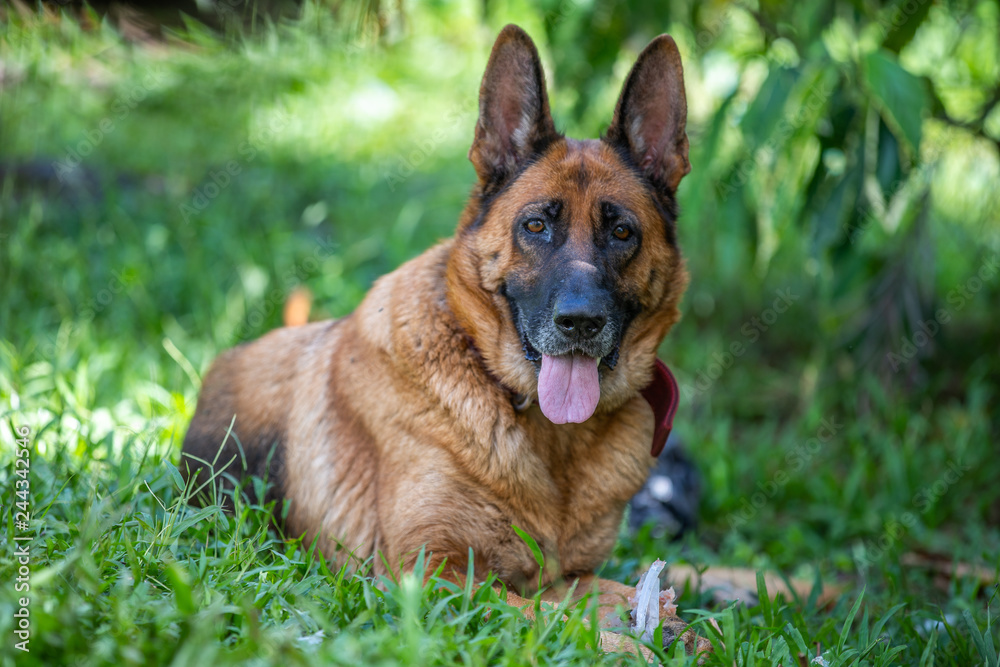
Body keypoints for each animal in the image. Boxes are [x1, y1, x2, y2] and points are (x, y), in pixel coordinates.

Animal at [182, 24, 712, 656]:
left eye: (622, 232)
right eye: (536, 225)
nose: (580, 323)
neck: (547, 437)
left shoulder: (564, 574)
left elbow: (600, 593)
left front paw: (671, 626)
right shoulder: (428, 573)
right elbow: (548, 619)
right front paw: (631, 646)